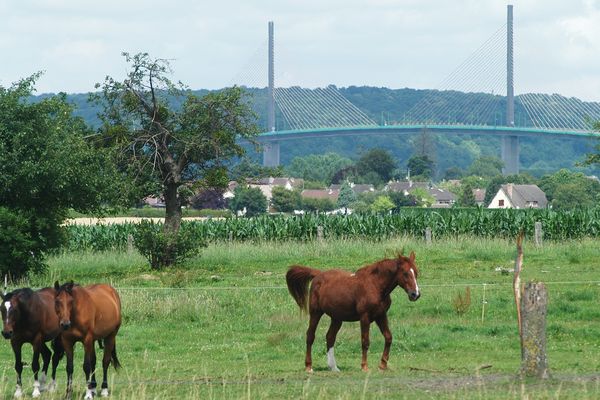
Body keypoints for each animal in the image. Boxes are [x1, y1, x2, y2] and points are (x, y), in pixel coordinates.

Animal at [288, 253, 422, 372]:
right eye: (405, 273)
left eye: (416, 272)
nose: (415, 294)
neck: (375, 285)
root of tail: (318, 275)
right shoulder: (365, 317)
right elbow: (365, 341)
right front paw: (364, 366)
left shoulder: (381, 315)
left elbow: (388, 337)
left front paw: (382, 365)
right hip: (316, 313)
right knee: (310, 336)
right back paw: (309, 367)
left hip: (337, 318)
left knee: (330, 337)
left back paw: (333, 367)